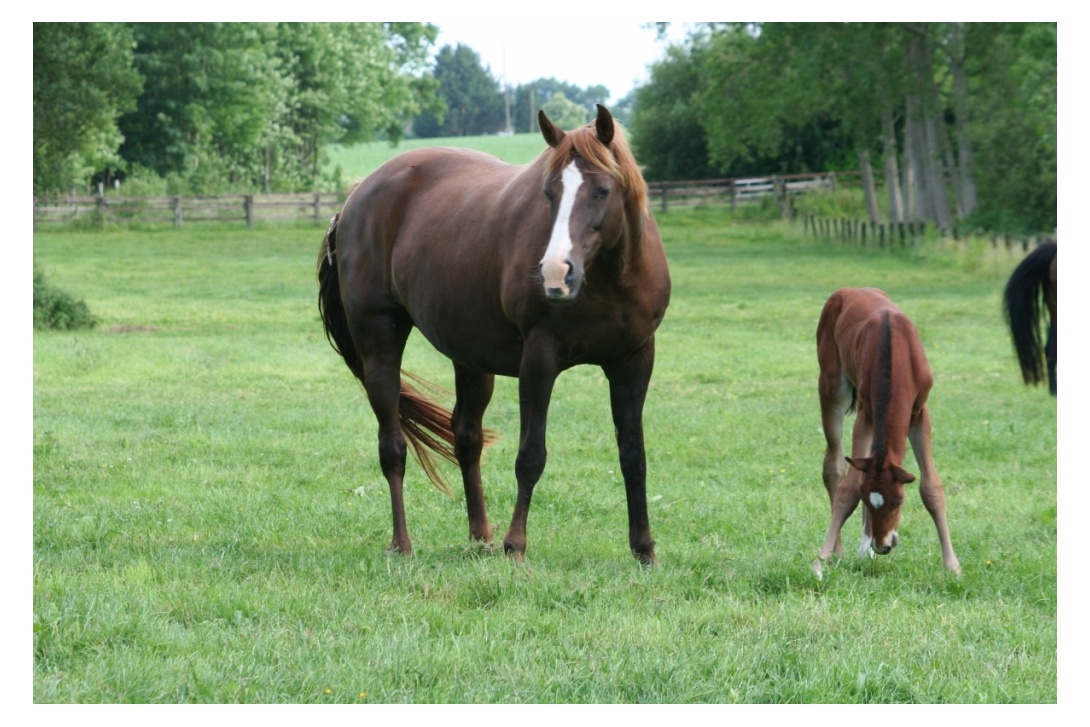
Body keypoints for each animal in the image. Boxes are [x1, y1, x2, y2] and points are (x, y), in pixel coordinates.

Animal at [318, 105, 671, 566]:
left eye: (602, 190)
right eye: (548, 192)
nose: (555, 273)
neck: (611, 280)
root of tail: (355, 199)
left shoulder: (634, 362)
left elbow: (633, 456)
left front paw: (644, 549)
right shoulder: (539, 361)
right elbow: (531, 456)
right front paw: (515, 545)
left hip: (470, 357)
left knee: (466, 437)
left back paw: (480, 536)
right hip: (380, 341)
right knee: (392, 445)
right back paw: (403, 543)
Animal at [815, 287, 959, 575]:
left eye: (899, 501)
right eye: (867, 499)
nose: (882, 546)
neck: (895, 354)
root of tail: (848, 290)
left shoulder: (919, 413)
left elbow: (931, 488)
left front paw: (952, 566)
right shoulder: (867, 415)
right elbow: (848, 488)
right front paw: (821, 560)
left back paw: (863, 549)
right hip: (832, 388)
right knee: (834, 465)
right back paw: (841, 551)